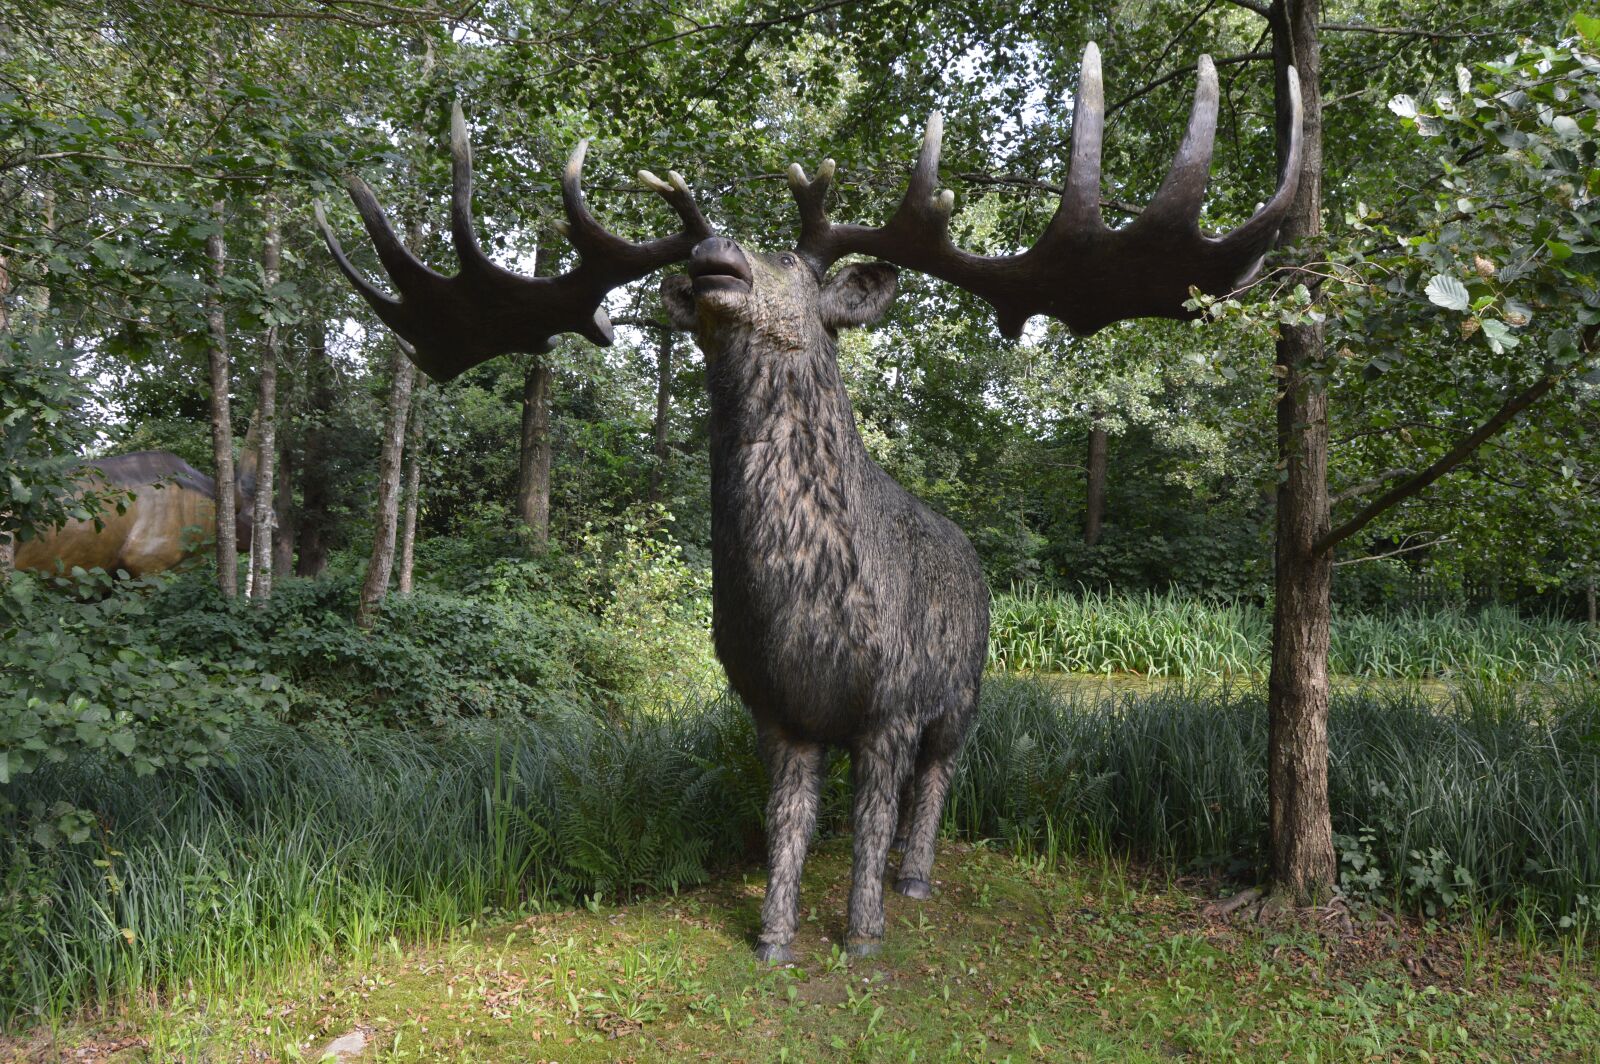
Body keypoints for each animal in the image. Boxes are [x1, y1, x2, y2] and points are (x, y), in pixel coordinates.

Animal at [317, 43, 1302, 961]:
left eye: (791, 262)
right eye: (708, 257)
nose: (712, 260)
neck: (810, 608)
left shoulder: (893, 701)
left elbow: (865, 820)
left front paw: (861, 931)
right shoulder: (774, 710)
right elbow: (786, 823)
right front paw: (772, 938)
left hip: (966, 688)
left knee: (936, 782)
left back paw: (915, 878)